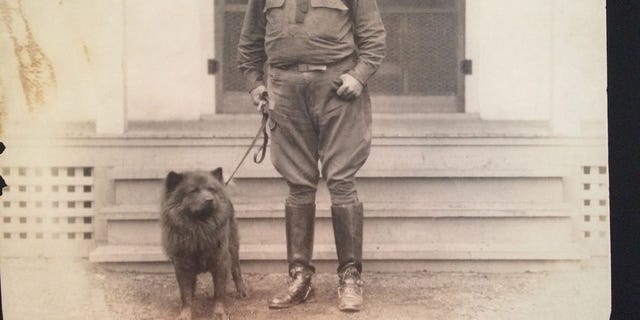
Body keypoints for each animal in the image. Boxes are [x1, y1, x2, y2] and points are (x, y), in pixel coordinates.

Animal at [160, 169, 248, 318]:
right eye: (193, 191)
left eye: (211, 189)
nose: (210, 200)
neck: (199, 227)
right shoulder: (182, 266)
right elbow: (185, 293)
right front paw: (186, 313)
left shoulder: (221, 262)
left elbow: (219, 292)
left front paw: (219, 313)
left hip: (233, 246)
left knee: (236, 270)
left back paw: (241, 291)